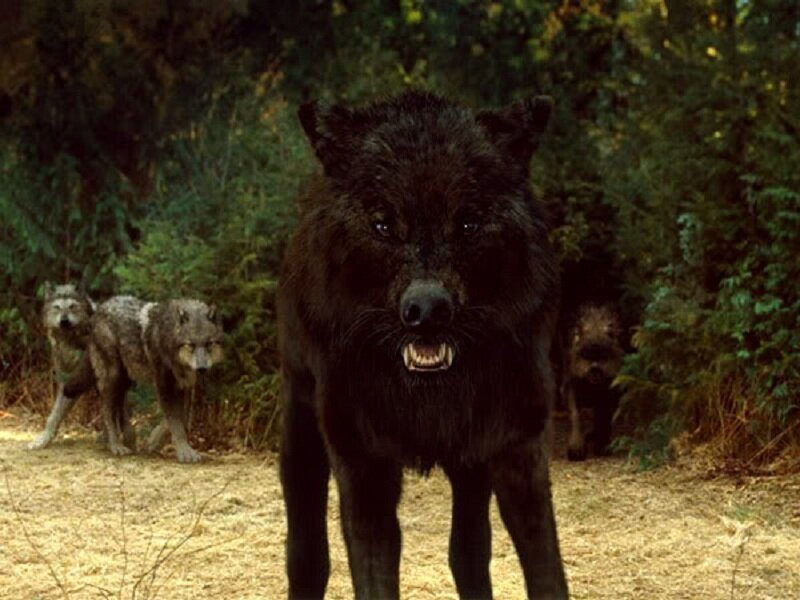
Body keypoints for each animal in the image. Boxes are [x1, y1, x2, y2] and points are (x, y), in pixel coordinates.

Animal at [28, 283, 96, 450]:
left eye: (72, 306)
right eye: (57, 307)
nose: (64, 321)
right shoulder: (68, 382)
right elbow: (53, 416)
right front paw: (42, 440)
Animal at [66, 296, 223, 463]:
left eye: (209, 343)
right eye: (190, 344)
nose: (202, 368)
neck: (167, 335)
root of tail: (99, 310)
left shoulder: (181, 386)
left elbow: (176, 417)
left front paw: (153, 442)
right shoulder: (164, 384)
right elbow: (175, 421)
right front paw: (184, 452)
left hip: (125, 380)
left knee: (118, 405)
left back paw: (128, 440)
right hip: (114, 376)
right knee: (106, 410)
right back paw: (116, 446)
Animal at [278, 91, 568, 599]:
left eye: (469, 224)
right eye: (382, 225)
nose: (427, 310)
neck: (430, 396)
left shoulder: (518, 451)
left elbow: (546, 573)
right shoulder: (364, 464)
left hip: (470, 469)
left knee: (468, 552)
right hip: (301, 430)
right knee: (306, 557)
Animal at [563, 303, 624, 461]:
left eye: (603, 355)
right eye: (586, 355)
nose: (595, 369)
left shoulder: (611, 390)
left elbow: (604, 417)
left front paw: (602, 446)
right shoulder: (571, 384)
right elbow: (575, 414)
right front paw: (576, 449)